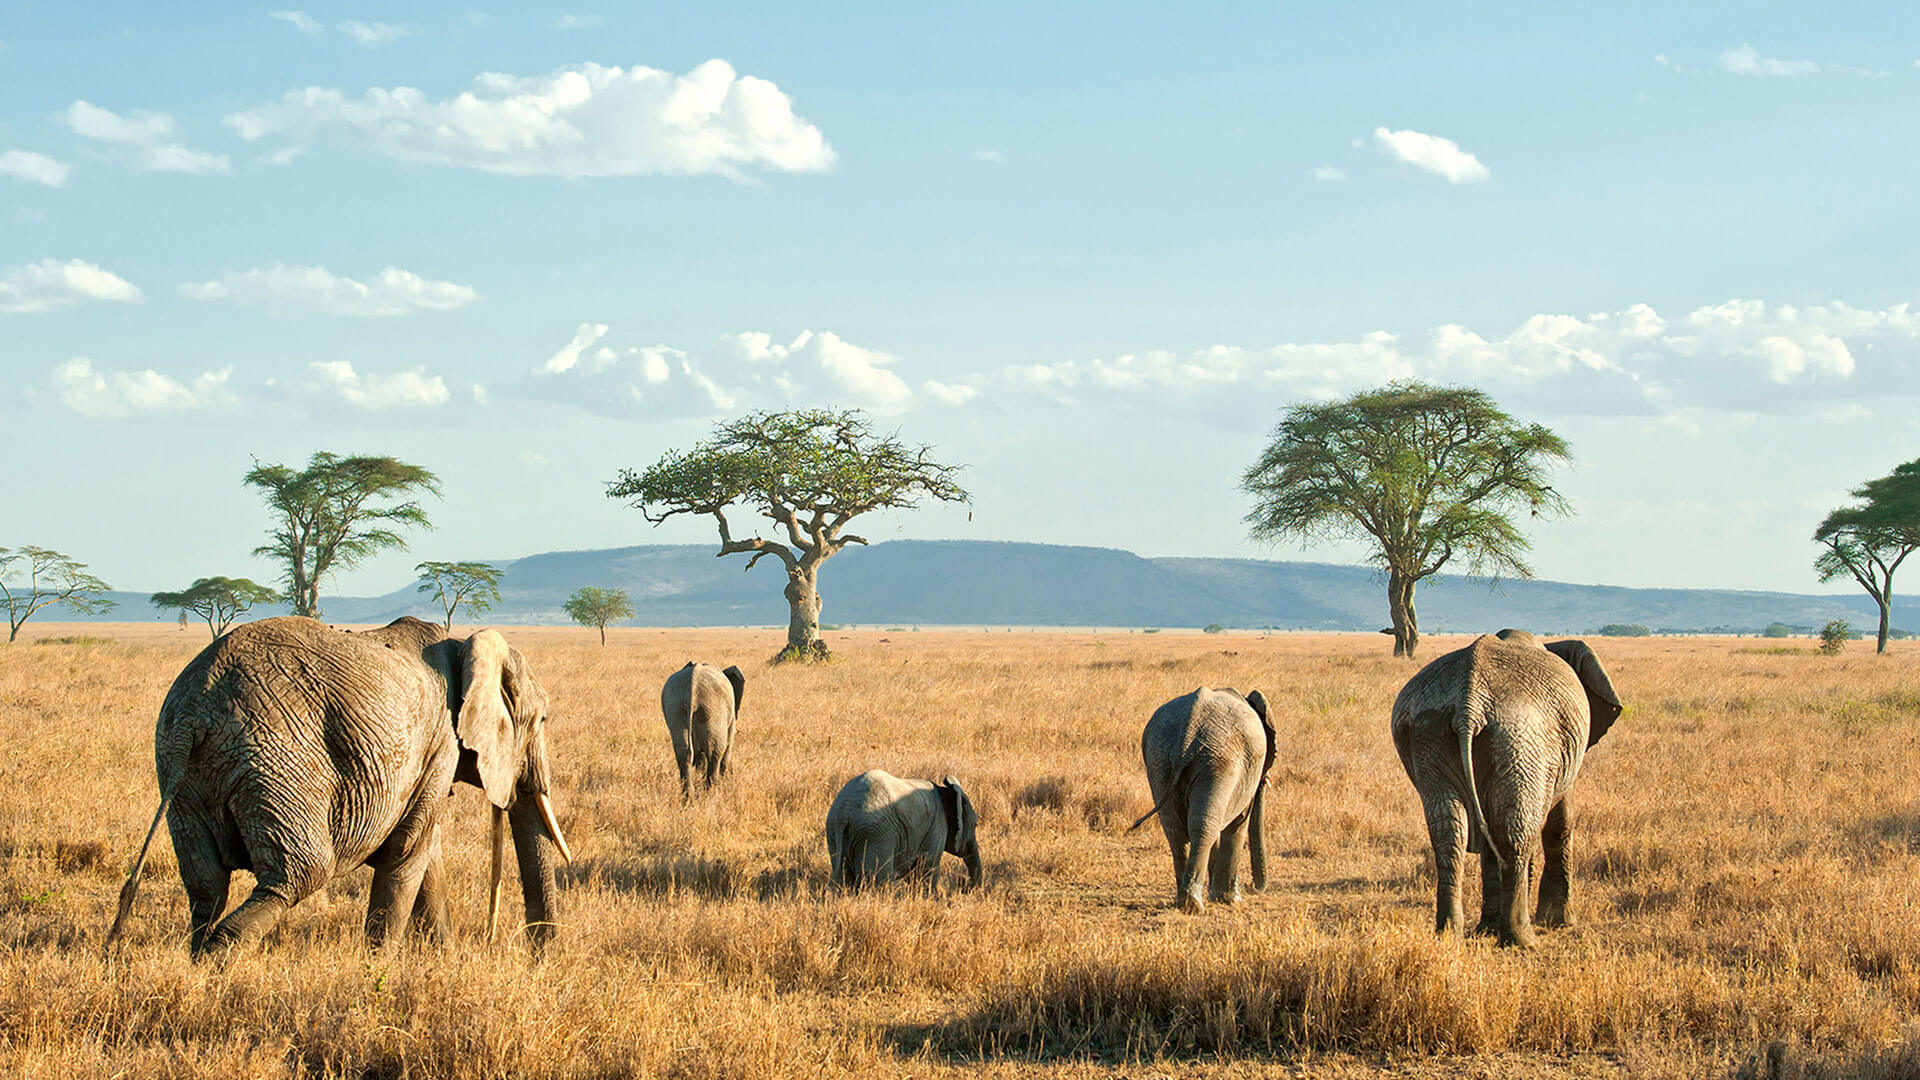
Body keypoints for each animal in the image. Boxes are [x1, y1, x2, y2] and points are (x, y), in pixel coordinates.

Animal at [108, 614, 572, 949]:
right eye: (542, 720)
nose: (538, 955)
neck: (463, 646)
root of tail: (195, 711)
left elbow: (425, 853)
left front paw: (443, 960)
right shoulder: (440, 742)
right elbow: (407, 851)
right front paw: (379, 966)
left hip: (182, 772)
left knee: (207, 887)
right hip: (277, 761)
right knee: (298, 875)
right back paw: (220, 961)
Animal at [664, 657, 744, 799]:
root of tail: (692, 686)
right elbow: (728, 744)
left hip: (676, 707)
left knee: (683, 752)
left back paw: (688, 798)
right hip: (714, 710)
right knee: (715, 751)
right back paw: (712, 793)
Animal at [825, 768, 983, 887]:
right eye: (975, 824)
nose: (963, 883)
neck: (946, 790)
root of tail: (844, 810)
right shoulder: (937, 826)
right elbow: (926, 865)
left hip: (834, 832)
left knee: (844, 875)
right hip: (875, 834)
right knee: (876, 879)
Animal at [1121, 680, 1274, 907]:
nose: (1252, 887)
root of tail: (1188, 729)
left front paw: (1216, 895)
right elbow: (1238, 824)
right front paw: (1230, 900)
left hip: (1160, 758)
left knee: (1175, 828)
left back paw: (1183, 901)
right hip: (1219, 761)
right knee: (1204, 826)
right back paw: (1192, 904)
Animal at [1397, 626, 1620, 945]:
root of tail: (1468, 705)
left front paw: (1487, 929)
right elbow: (1559, 821)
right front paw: (1559, 922)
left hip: (1430, 731)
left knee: (1449, 831)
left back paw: (1449, 934)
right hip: (1520, 736)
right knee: (1515, 832)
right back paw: (1522, 940)